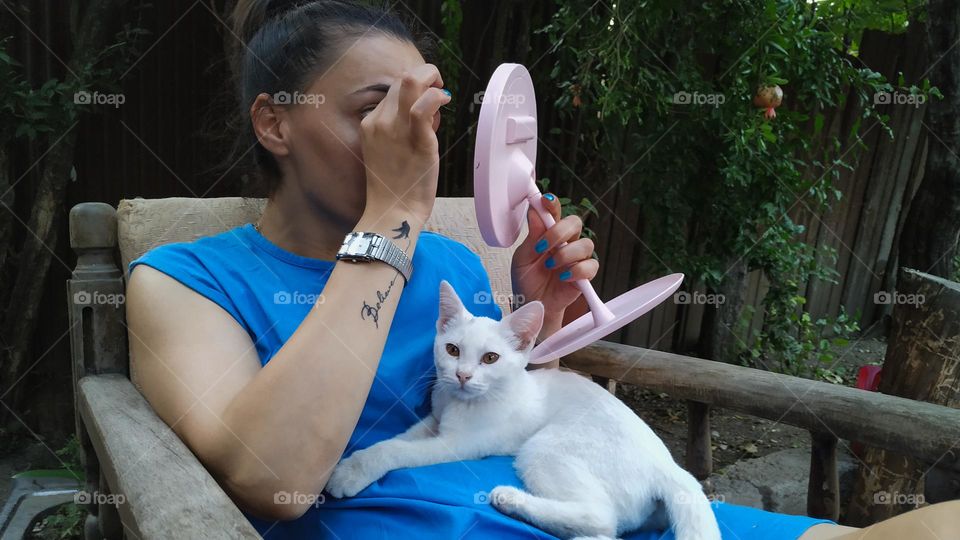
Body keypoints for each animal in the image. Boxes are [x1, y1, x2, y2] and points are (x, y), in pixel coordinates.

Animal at [324, 280, 720, 540]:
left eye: (490, 358)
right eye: (452, 350)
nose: (462, 375)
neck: (460, 402)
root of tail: (669, 467)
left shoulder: (460, 443)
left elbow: (399, 451)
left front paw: (350, 473)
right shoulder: (434, 420)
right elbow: (397, 440)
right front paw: (355, 461)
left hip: (545, 447)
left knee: (602, 518)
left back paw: (511, 499)